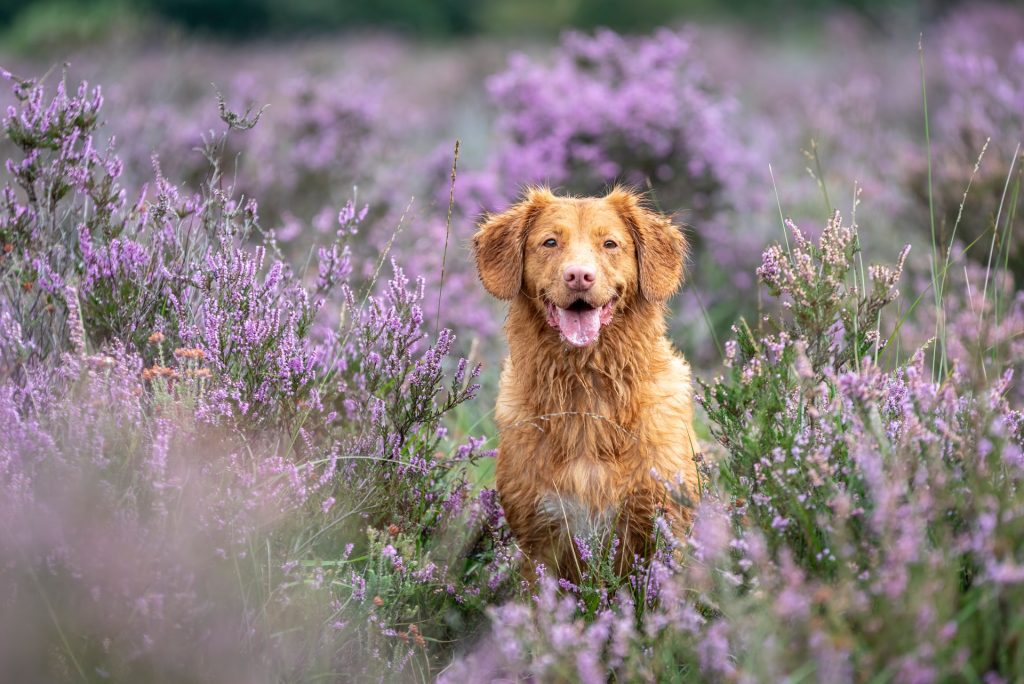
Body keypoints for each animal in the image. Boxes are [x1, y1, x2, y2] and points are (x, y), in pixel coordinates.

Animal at [473, 185, 700, 577]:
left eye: (610, 244)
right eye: (550, 242)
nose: (579, 276)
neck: (586, 388)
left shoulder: (666, 524)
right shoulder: (540, 537)